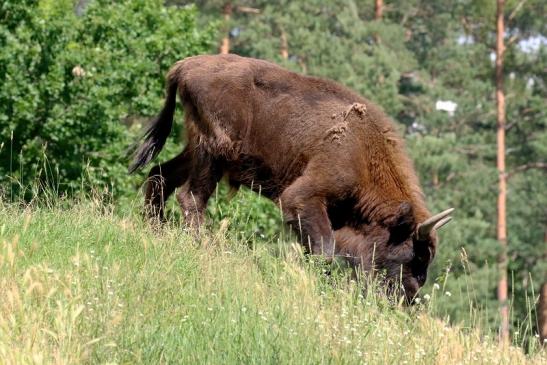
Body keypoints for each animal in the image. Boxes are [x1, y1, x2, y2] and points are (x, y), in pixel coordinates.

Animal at [130, 53, 454, 298]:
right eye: (412, 255)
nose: (407, 298)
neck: (363, 149)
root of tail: (184, 66)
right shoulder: (305, 196)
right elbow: (323, 249)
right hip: (212, 152)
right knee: (191, 197)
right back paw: (203, 246)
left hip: (197, 150)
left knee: (160, 174)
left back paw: (156, 228)